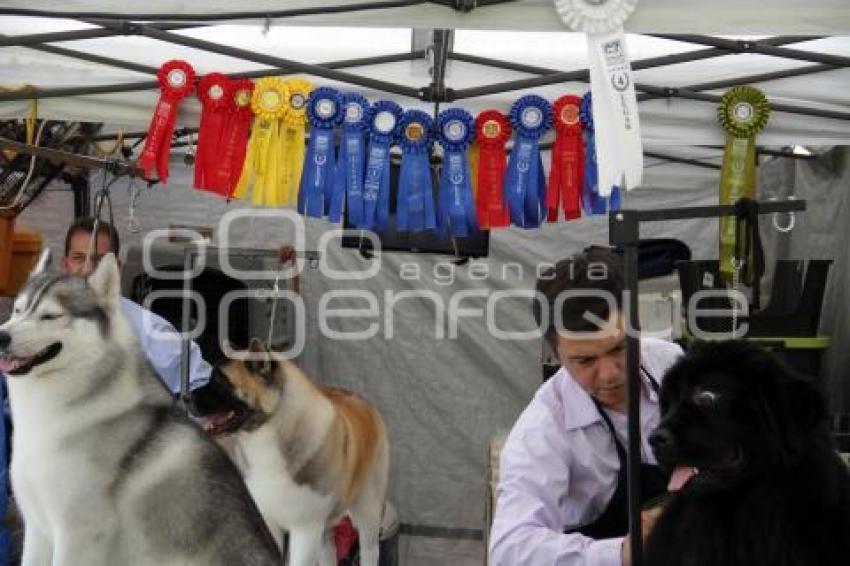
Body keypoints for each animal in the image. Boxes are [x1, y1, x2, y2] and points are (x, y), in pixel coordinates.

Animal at [191, 342, 388, 566]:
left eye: (221, 380)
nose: (185, 397)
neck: (265, 434)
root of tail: (364, 403)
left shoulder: (305, 530)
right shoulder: (271, 521)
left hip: (368, 512)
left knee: (370, 548)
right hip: (324, 531)